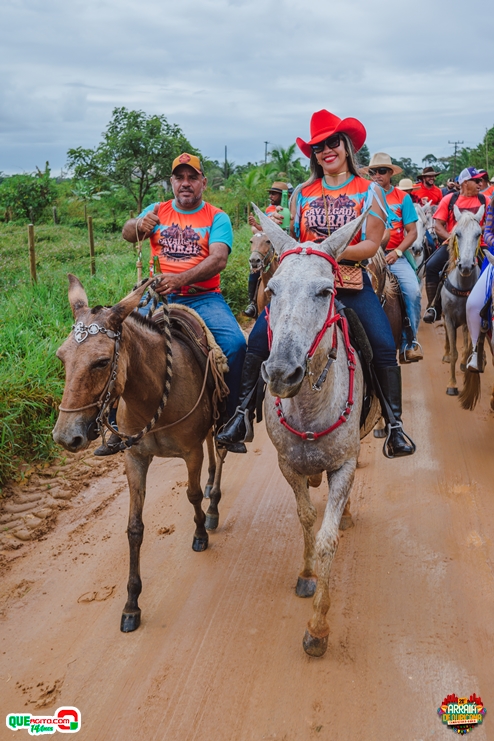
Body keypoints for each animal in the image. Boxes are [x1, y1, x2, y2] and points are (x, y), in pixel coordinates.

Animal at [53, 275, 227, 633]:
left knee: (218, 453)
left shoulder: (190, 453)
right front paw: (132, 603)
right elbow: (134, 528)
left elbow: (191, 494)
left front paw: (200, 533)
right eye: (62, 358)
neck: (153, 396)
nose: (65, 436)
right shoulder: (134, 459)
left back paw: (214, 504)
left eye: (102, 361)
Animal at [253, 205, 374, 658]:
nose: (281, 372)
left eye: (325, 291)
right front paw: (306, 574)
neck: (308, 406)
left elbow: (326, 541)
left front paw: (318, 627)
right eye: (271, 291)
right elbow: (305, 519)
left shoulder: (344, 465)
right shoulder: (288, 465)